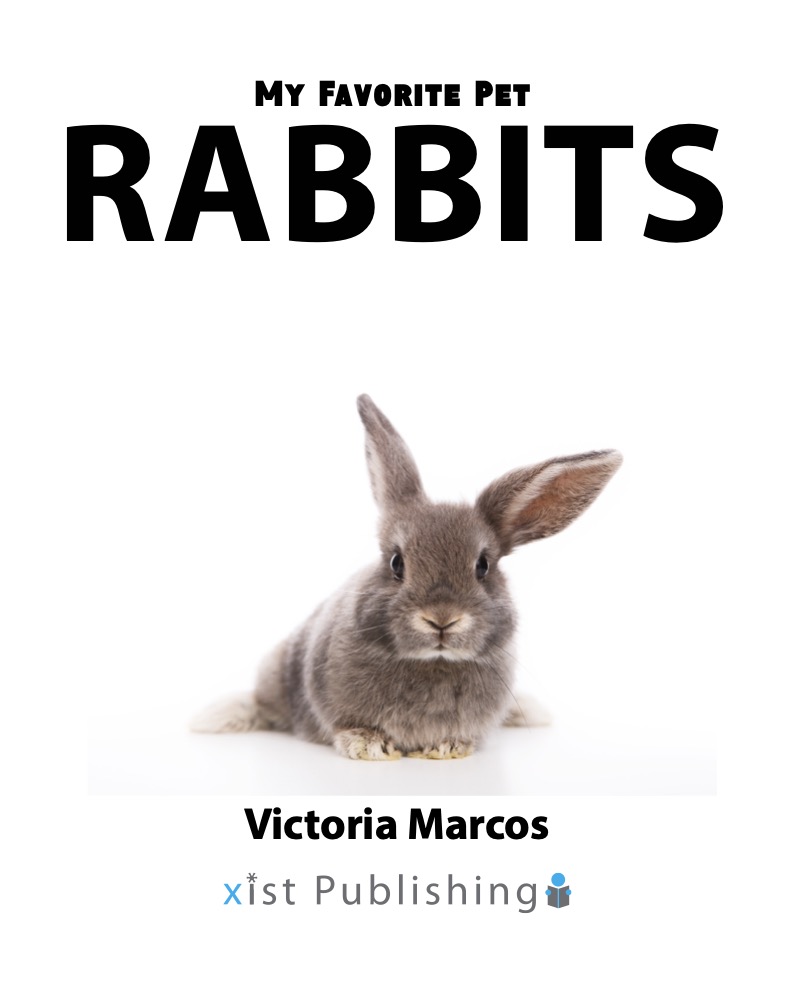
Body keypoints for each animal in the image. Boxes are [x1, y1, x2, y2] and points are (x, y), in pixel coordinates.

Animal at [191, 395, 622, 760]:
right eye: (397, 563)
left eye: (483, 565)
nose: (442, 619)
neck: (433, 662)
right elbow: (348, 727)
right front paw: (368, 746)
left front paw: (448, 747)